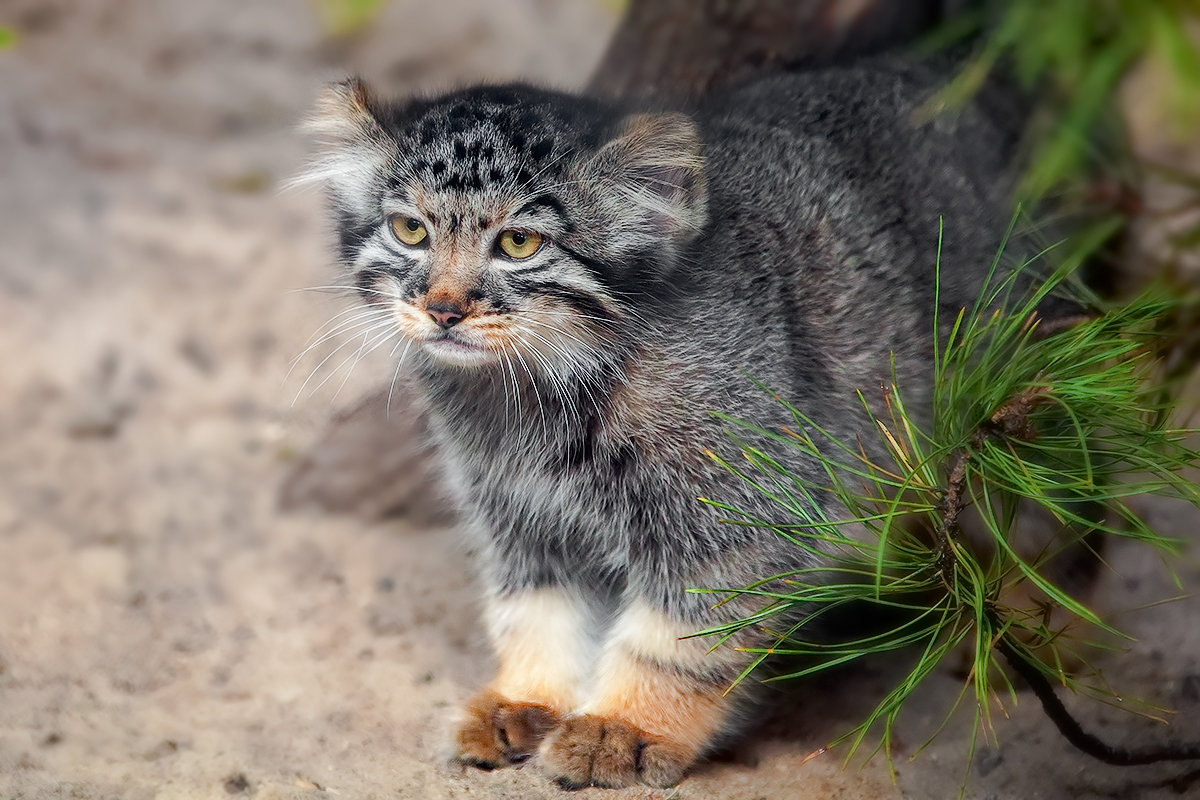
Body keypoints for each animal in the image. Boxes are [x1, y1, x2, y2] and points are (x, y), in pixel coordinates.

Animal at [307, 59, 1041, 791]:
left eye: (519, 242)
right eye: (410, 231)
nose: (443, 309)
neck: (532, 399)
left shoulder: (737, 511)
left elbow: (679, 636)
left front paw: (625, 725)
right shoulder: (519, 510)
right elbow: (538, 609)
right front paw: (528, 696)